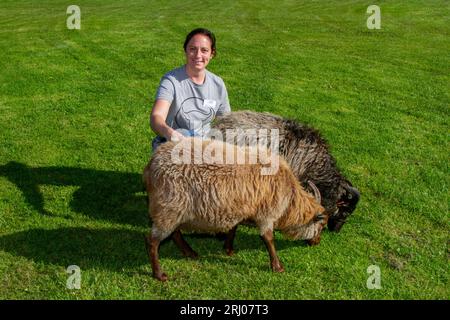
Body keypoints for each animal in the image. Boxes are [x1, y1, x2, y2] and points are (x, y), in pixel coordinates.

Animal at [144, 138, 326, 280]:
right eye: (322, 226)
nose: (317, 243)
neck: (291, 198)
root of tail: (151, 164)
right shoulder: (266, 214)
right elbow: (269, 239)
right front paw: (277, 266)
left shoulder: (238, 207)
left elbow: (233, 229)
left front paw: (229, 249)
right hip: (168, 207)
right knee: (152, 242)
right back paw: (159, 274)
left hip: (174, 210)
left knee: (175, 234)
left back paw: (190, 252)